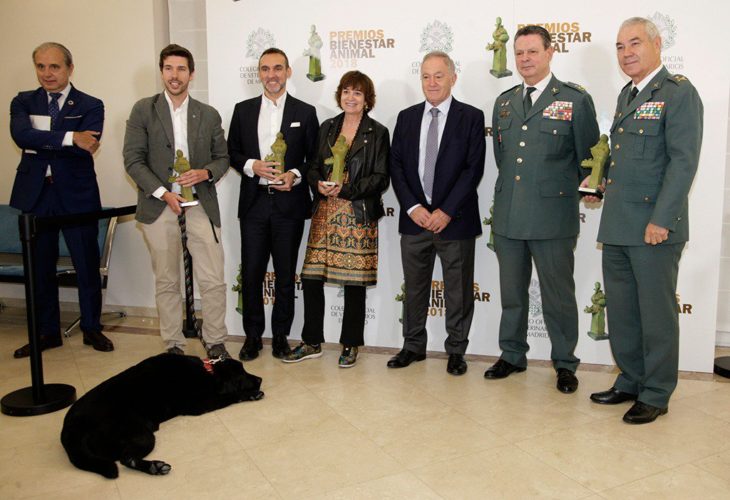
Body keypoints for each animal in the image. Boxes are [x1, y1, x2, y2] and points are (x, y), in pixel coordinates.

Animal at [61, 354, 264, 478]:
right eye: (242, 374)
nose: (260, 379)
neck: (208, 372)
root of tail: (69, 430)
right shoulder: (202, 404)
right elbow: (233, 395)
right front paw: (251, 394)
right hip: (141, 434)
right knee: (126, 458)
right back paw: (155, 466)